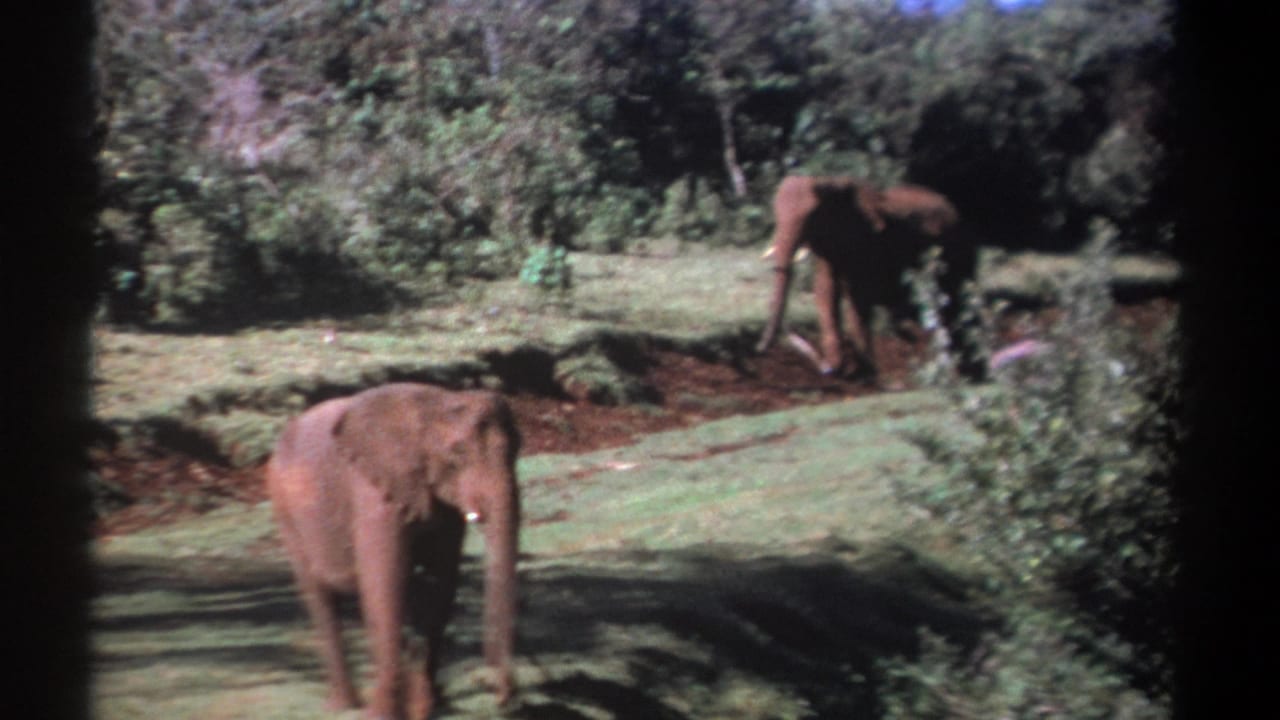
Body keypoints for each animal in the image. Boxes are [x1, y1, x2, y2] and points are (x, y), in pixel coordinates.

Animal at [266, 382, 521, 720]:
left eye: (517, 450)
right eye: (458, 453)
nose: (500, 694)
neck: (436, 403)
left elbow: (440, 586)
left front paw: (431, 707)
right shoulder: (373, 491)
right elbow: (385, 586)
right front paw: (383, 715)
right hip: (286, 513)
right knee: (320, 598)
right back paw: (343, 707)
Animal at [756, 175, 981, 381]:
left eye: (812, 216)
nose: (759, 348)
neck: (830, 183)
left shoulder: (868, 244)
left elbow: (858, 300)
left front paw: (862, 372)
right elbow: (826, 293)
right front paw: (841, 369)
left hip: (958, 252)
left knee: (955, 305)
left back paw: (964, 371)